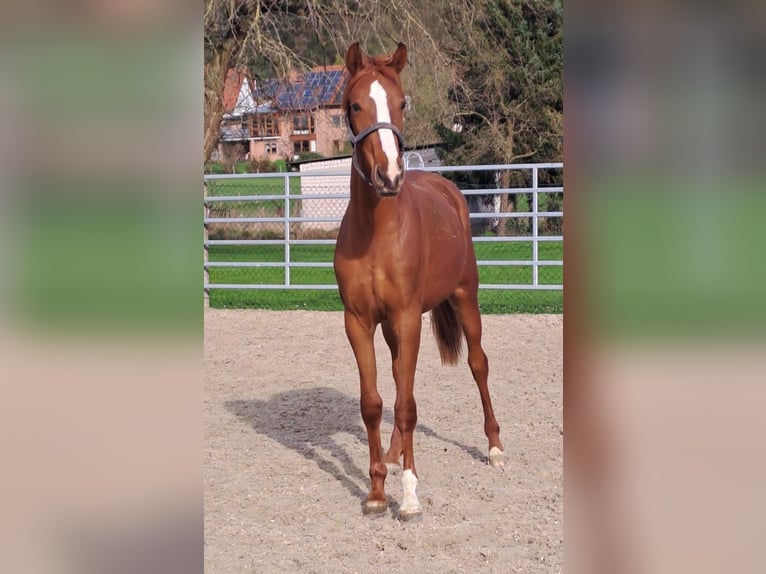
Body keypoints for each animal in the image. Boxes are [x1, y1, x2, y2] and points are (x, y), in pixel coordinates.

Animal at [334, 45, 504, 520]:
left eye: (401, 103)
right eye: (355, 105)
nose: (390, 176)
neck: (376, 235)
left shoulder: (408, 318)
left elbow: (406, 406)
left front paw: (409, 496)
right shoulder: (358, 322)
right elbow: (375, 403)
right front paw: (376, 492)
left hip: (465, 300)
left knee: (478, 365)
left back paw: (495, 447)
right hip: (394, 328)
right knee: (397, 380)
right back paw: (393, 455)